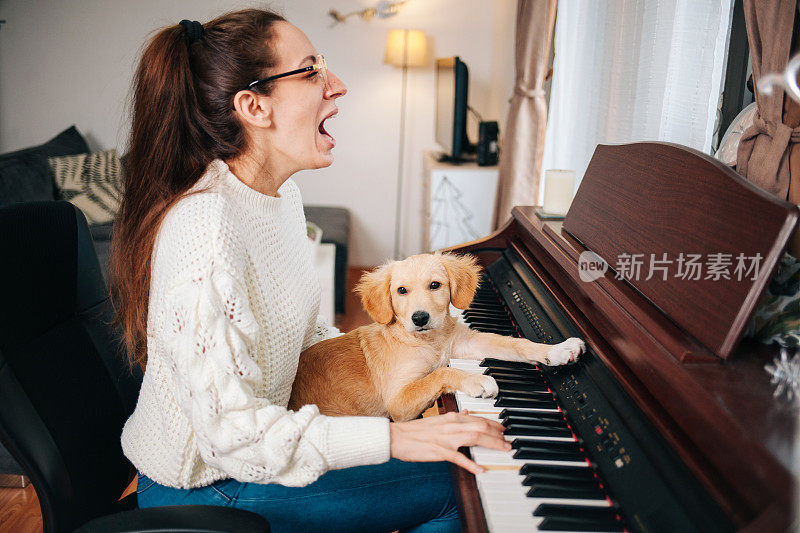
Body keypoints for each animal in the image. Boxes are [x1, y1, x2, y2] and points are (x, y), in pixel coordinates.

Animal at [288, 251, 580, 422]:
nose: (420, 318)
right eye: (401, 290)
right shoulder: (397, 401)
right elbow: (440, 373)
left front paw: (557, 350)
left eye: (435, 285)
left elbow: (513, 343)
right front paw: (477, 380)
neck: (429, 342)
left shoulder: (465, 343)